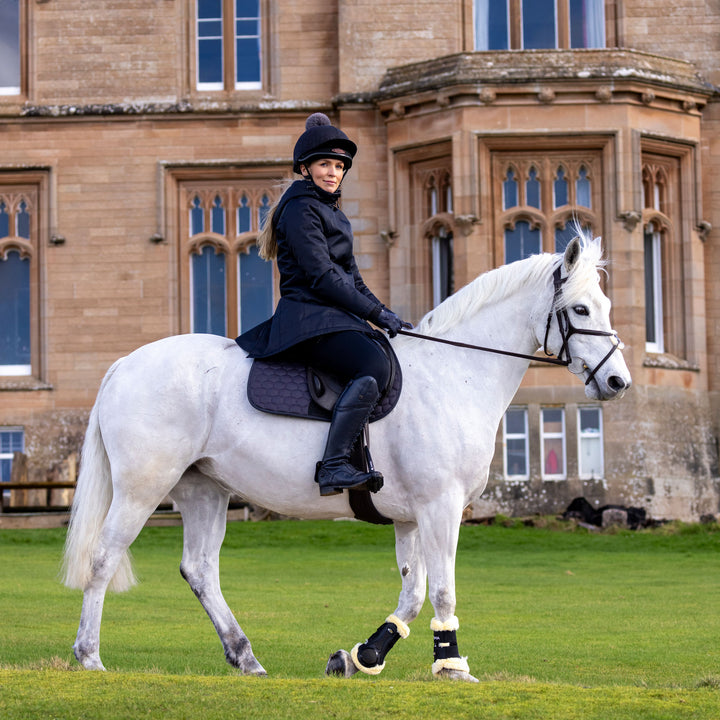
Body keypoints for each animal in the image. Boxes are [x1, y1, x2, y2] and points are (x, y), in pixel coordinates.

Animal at [62, 235, 632, 680]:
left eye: (603, 305)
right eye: (580, 309)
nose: (617, 382)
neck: (453, 374)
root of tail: (124, 364)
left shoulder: (410, 518)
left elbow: (413, 595)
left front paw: (360, 657)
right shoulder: (440, 508)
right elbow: (443, 592)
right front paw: (451, 666)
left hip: (205, 490)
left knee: (200, 569)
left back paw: (245, 657)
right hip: (143, 487)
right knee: (104, 557)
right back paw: (89, 656)